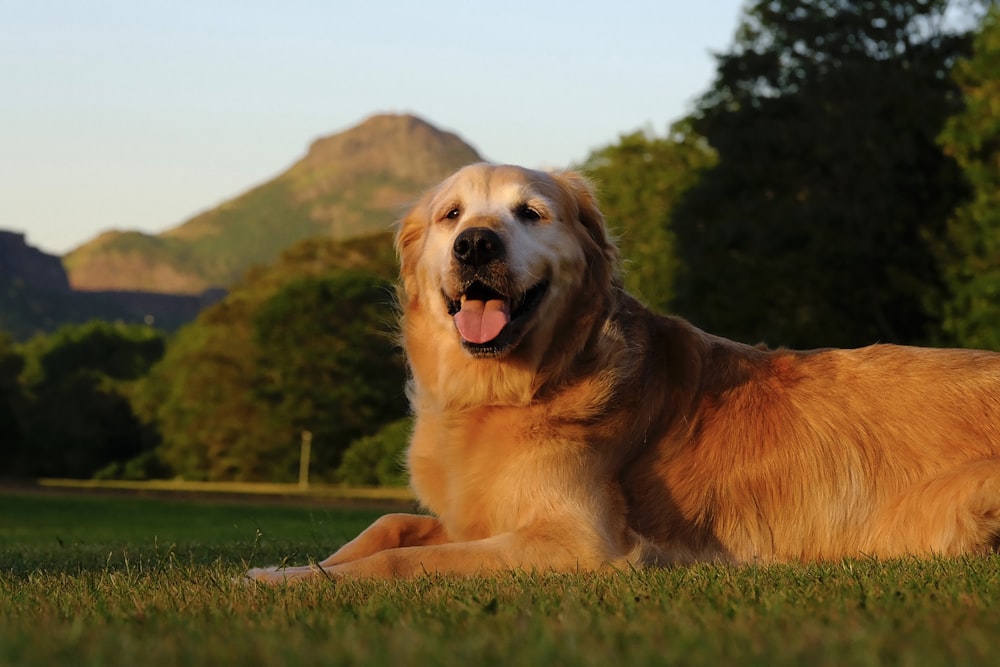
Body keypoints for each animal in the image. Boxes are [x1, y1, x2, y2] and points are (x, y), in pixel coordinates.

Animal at [248, 163, 1000, 584]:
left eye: (530, 213)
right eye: (450, 215)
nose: (475, 244)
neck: (515, 388)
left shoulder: (579, 541)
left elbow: (397, 559)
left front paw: (293, 584)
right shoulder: (479, 518)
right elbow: (388, 525)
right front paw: (283, 568)